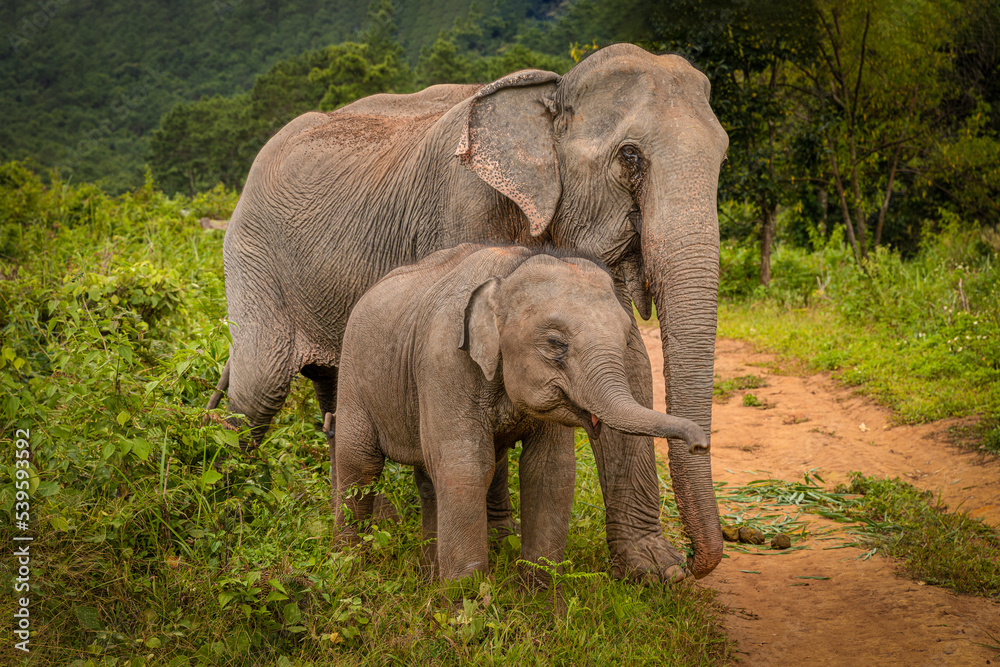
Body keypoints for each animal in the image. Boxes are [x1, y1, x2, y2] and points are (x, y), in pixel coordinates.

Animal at [334, 243, 708, 583]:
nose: (700, 444)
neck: (509, 272)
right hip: (352, 376)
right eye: (556, 344)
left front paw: (541, 596)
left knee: (428, 478)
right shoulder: (442, 359)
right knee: (360, 464)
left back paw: (427, 575)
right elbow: (466, 467)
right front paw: (466, 600)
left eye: (627, 339)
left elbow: (548, 471)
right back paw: (350, 570)